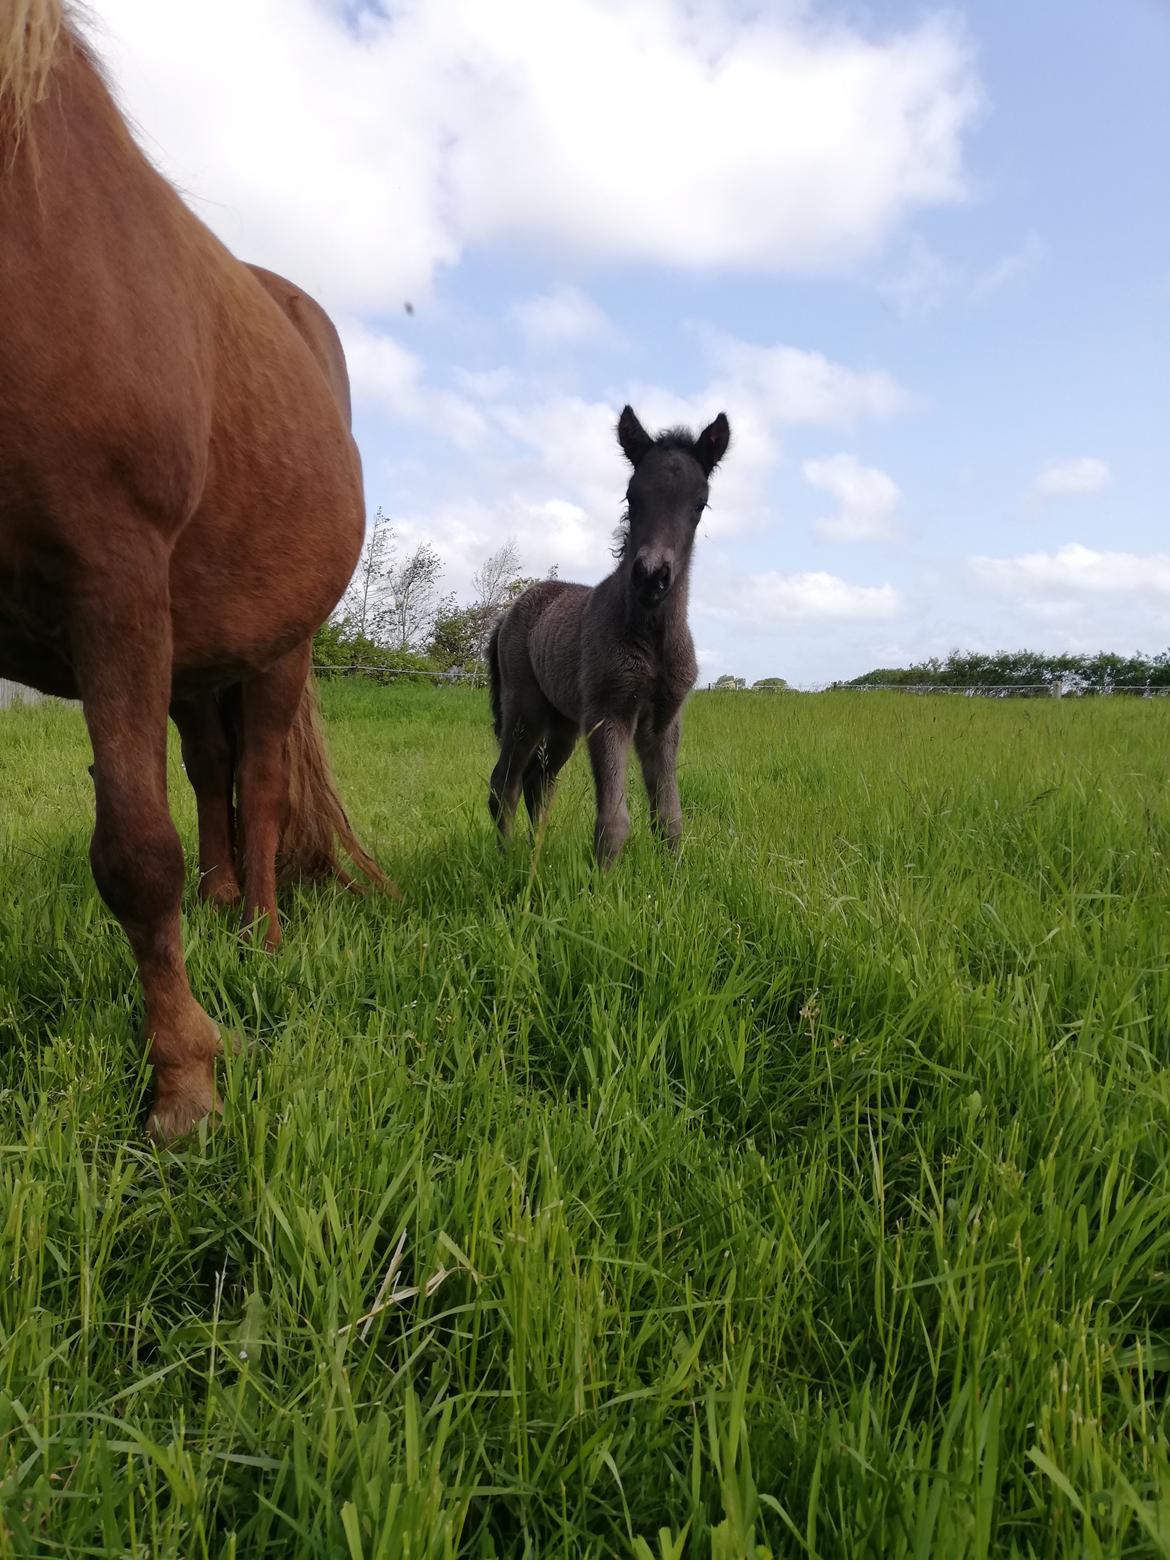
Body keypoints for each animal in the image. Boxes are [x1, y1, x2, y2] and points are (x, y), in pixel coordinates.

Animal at [0, 6, 386, 1141]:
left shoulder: (114, 582)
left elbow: (136, 854)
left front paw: (184, 1084)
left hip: (276, 649)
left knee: (258, 784)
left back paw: (259, 930)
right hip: (192, 658)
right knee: (213, 773)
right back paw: (218, 908)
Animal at [486, 402, 730, 867]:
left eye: (700, 504)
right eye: (631, 497)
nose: (651, 576)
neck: (651, 638)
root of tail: (509, 613)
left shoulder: (664, 721)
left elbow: (669, 817)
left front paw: (674, 875)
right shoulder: (609, 712)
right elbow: (614, 822)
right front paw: (602, 879)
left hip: (564, 722)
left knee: (539, 780)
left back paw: (537, 851)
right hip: (525, 709)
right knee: (504, 782)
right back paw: (505, 857)